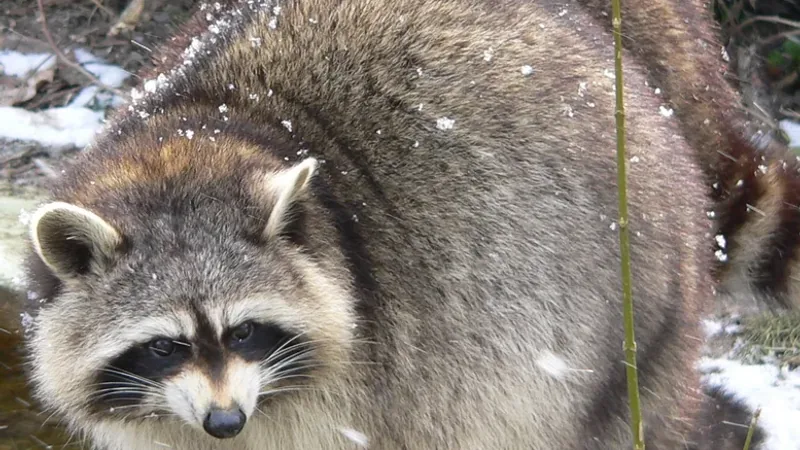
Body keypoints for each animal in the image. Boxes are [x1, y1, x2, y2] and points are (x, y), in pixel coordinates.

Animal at [23, 0, 742, 449]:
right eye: (163, 347)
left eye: (245, 331)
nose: (225, 422)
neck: (199, 136)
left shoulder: (371, 379)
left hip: (628, 324)